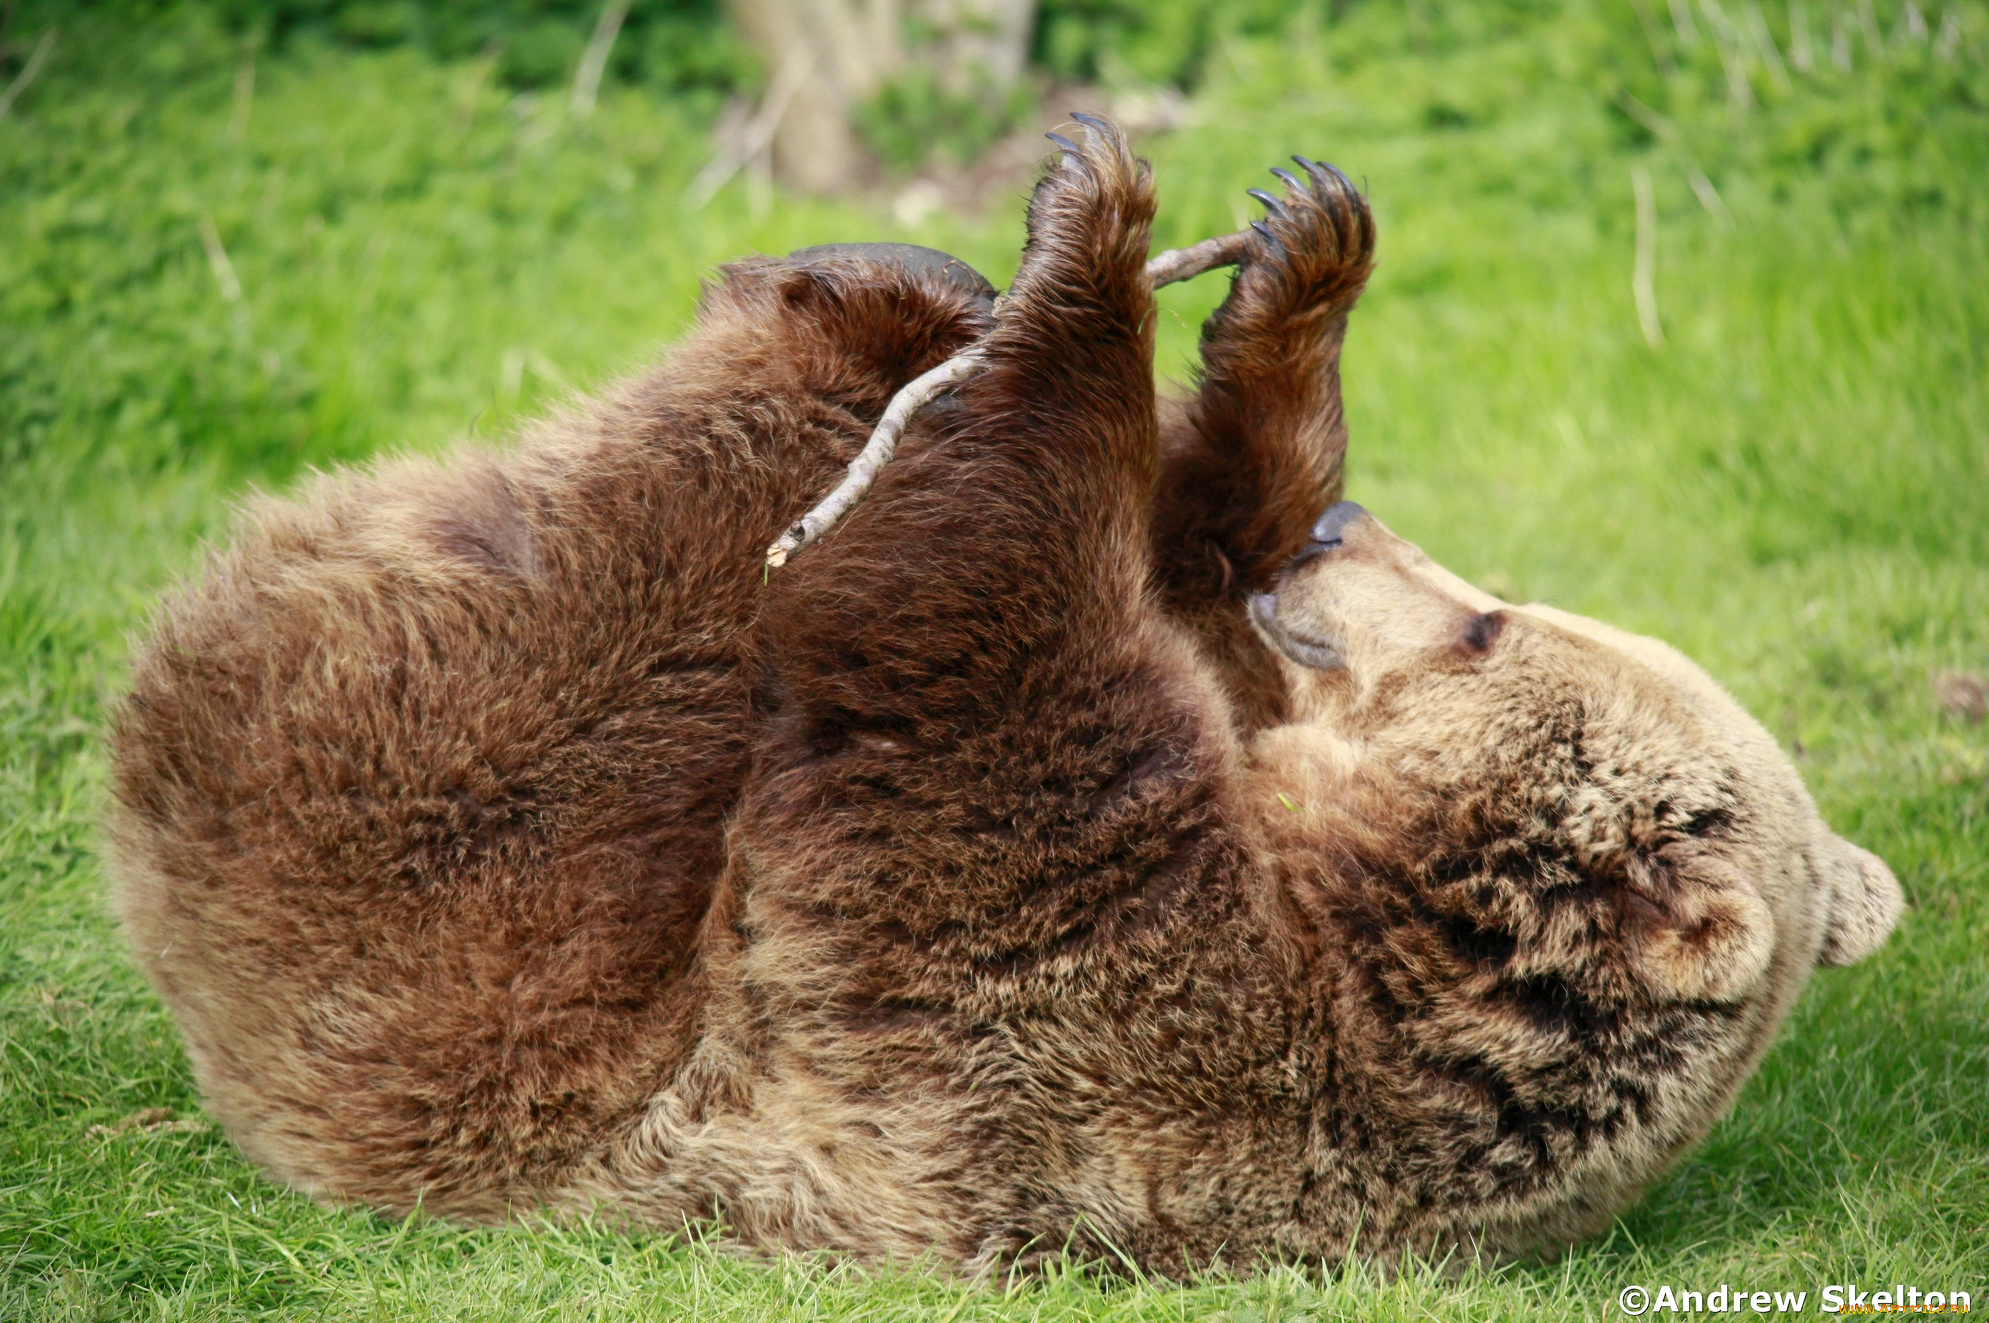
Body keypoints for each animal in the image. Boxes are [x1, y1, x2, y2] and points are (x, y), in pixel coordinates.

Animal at [100, 121, 1901, 1273]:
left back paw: (851, 301)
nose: (1341, 535)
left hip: (448, 897)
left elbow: (962, 630)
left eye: (1484, 626)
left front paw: (1093, 238)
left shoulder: (1074, 1002)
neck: (1350, 907)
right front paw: (1294, 264)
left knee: (641, 585)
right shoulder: (1225, 748)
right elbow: (1178, 561)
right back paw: (895, 275)